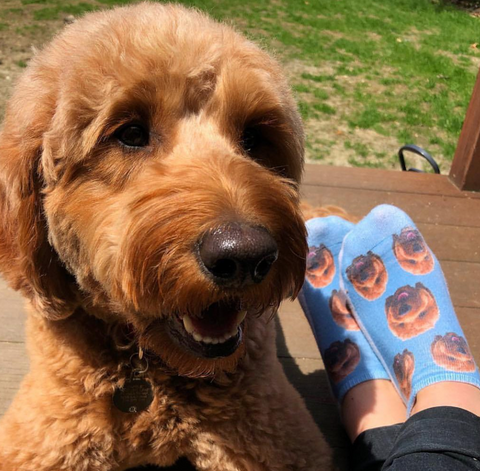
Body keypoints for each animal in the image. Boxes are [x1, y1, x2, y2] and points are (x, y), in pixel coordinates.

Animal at [0, 3, 334, 471]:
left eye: (254, 137)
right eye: (130, 134)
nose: (246, 257)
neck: (149, 367)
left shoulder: (271, 431)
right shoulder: (48, 431)